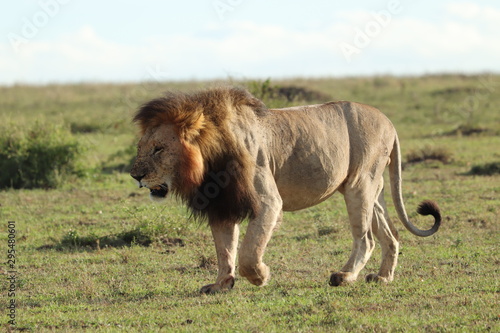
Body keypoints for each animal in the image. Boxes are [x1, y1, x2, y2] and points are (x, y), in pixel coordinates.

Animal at [130, 86, 442, 294]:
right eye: (141, 148)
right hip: (369, 189)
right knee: (391, 235)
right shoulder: (223, 204)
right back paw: (383, 277)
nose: (136, 176)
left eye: (159, 149)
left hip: (360, 184)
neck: (209, 160)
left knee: (365, 239)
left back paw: (344, 276)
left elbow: (248, 251)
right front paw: (222, 284)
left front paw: (260, 276)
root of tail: (389, 122)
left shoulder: (268, 201)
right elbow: (225, 249)